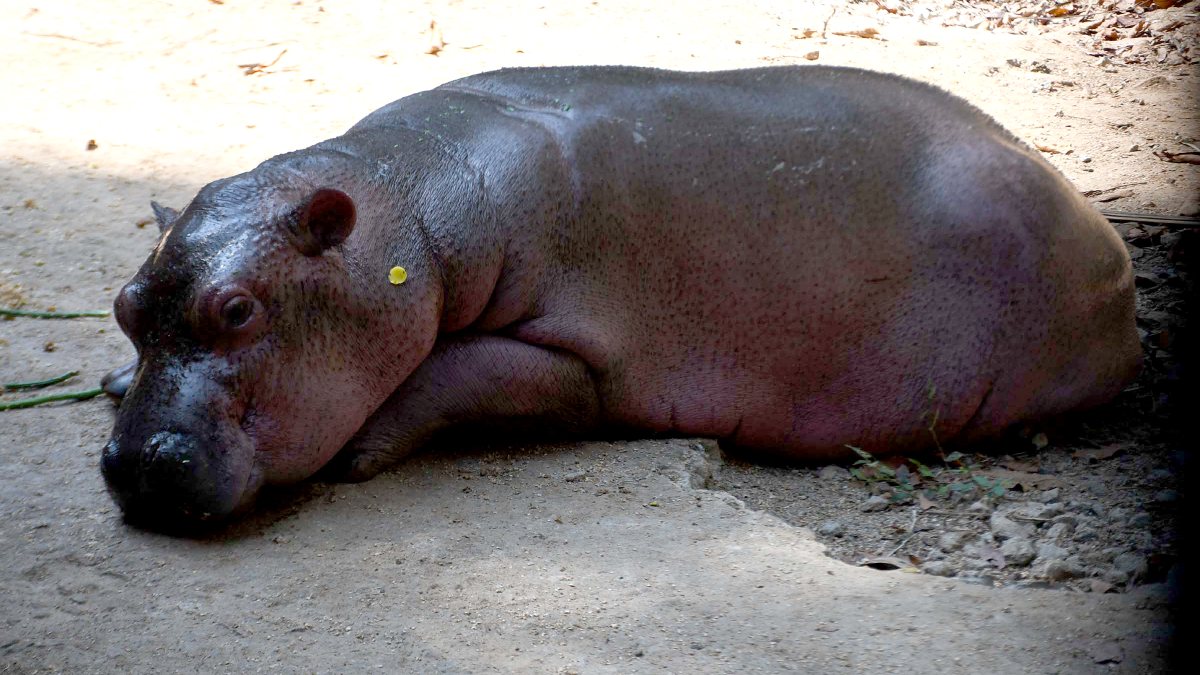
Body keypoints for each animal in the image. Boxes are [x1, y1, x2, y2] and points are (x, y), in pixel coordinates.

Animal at [100, 65, 1140, 529]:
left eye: (239, 310)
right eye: (123, 303)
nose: (134, 461)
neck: (406, 210)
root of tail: (1107, 238)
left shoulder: (575, 359)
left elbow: (447, 374)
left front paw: (361, 449)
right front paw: (112, 383)